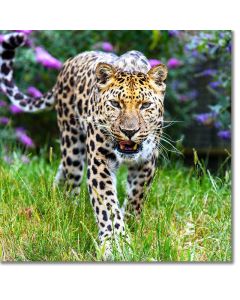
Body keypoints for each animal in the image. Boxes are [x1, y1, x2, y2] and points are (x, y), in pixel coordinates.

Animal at [0, 32, 168, 258]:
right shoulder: (100, 161)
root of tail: (70, 61)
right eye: (115, 104)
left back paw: (55, 198)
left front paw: (131, 225)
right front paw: (114, 245)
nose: (129, 131)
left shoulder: (147, 161)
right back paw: (66, 210)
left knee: (62, 173)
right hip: (72, 145)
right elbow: (108, 207)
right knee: (71, 180)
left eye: (145, 105)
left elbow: (137, 196)